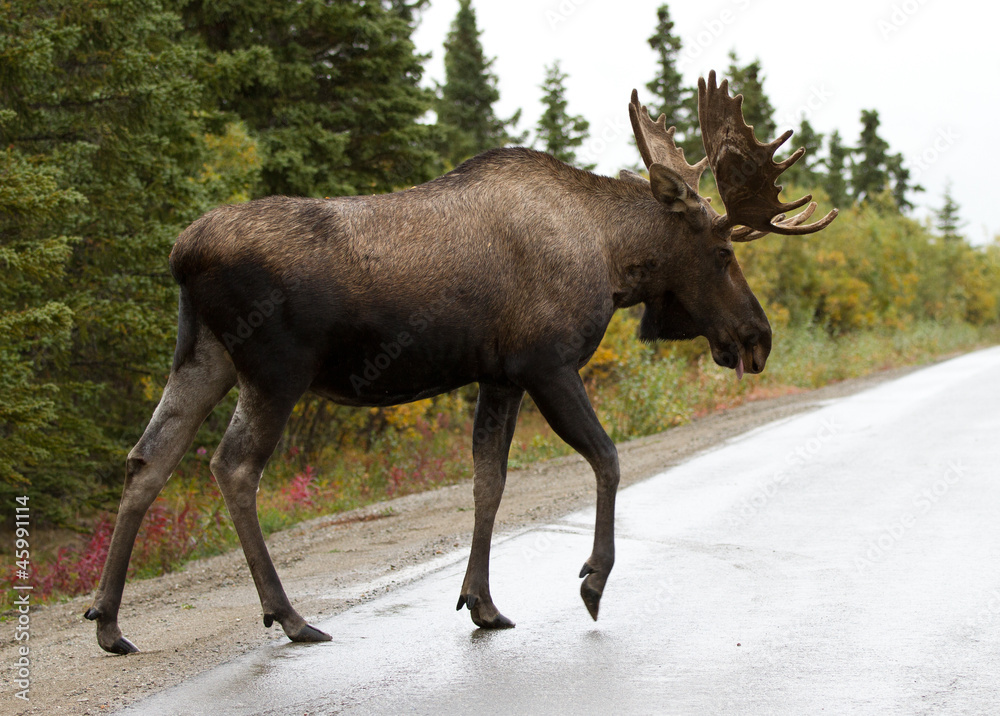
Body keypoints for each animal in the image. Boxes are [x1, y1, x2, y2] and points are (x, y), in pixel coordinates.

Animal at [84, 72, 836, 656]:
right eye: (723, 252)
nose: (758, 337)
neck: (612, 257)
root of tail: (182, 253)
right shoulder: (547, 363)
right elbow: (607, 457)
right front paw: (592, 581)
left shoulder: (498, 376)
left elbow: (488, 482)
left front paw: (482, 602)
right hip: (274, 369)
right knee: (232, 466)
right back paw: (289, 615)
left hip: (201, 357)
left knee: (147, 459)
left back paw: (110, 622)